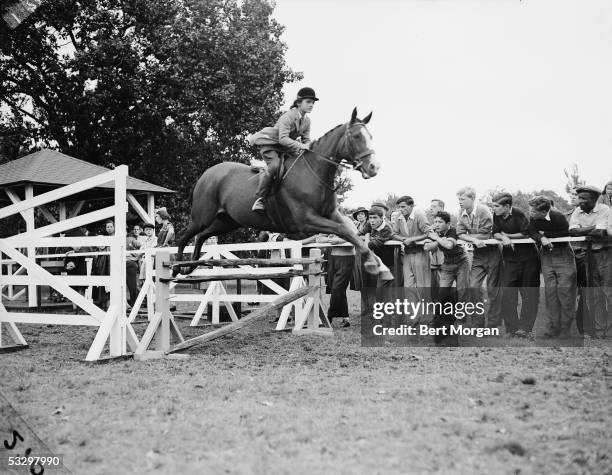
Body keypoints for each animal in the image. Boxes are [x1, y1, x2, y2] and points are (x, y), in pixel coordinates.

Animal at [175, 109, 380, 276]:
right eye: (356, 136)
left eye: (371, 136)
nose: (374, 167)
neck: (314, 173)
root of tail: (206, 174)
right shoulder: (306, 220)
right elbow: (342, 230)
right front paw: (372, 263)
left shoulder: (331, 214)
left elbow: (350, 231)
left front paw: (373, 260)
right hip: (202, 217)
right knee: (185, 236)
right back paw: (177, 267)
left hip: (227, 221)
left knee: (201, 236)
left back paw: (191, 266)